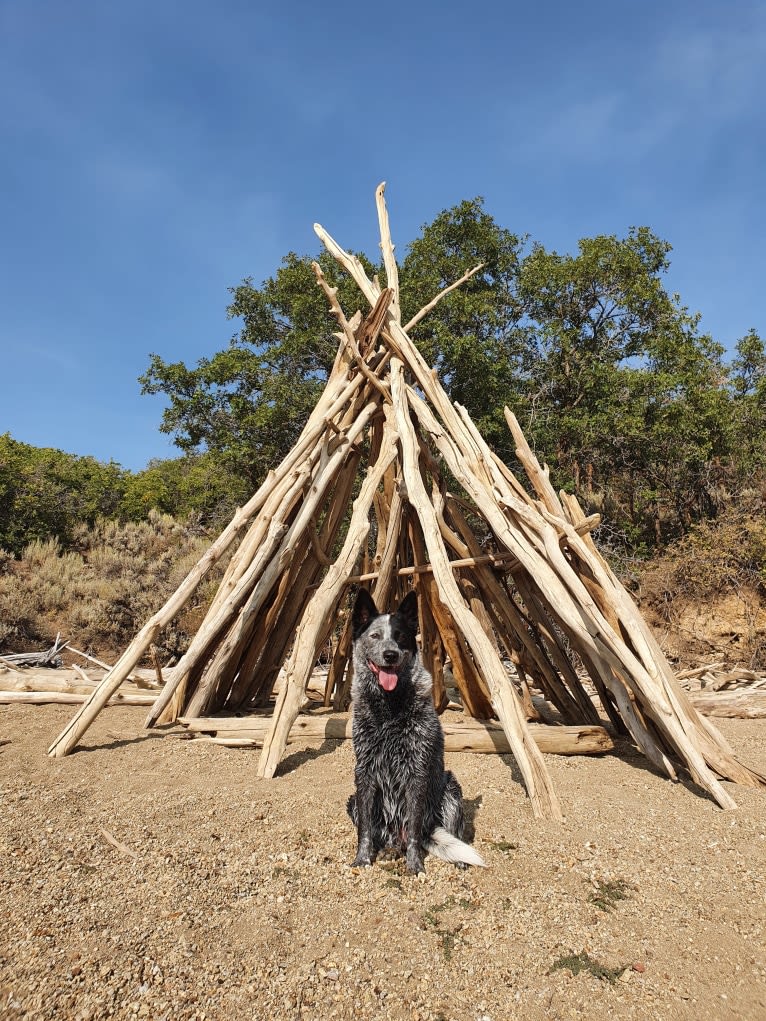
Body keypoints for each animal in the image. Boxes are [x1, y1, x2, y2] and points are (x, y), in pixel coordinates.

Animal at [347, 588, 486, 873]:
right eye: (375, 636)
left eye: (400, 636)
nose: (390, 655)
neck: (389, 707)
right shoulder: (364, 771)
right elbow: (365, 830)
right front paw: (362, 859)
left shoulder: (416, 771)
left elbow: (412, 829)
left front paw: (415, 866)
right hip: (353, 800)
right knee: (381, 834)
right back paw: (387, 850)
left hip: (451, 790)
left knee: (439, 832)